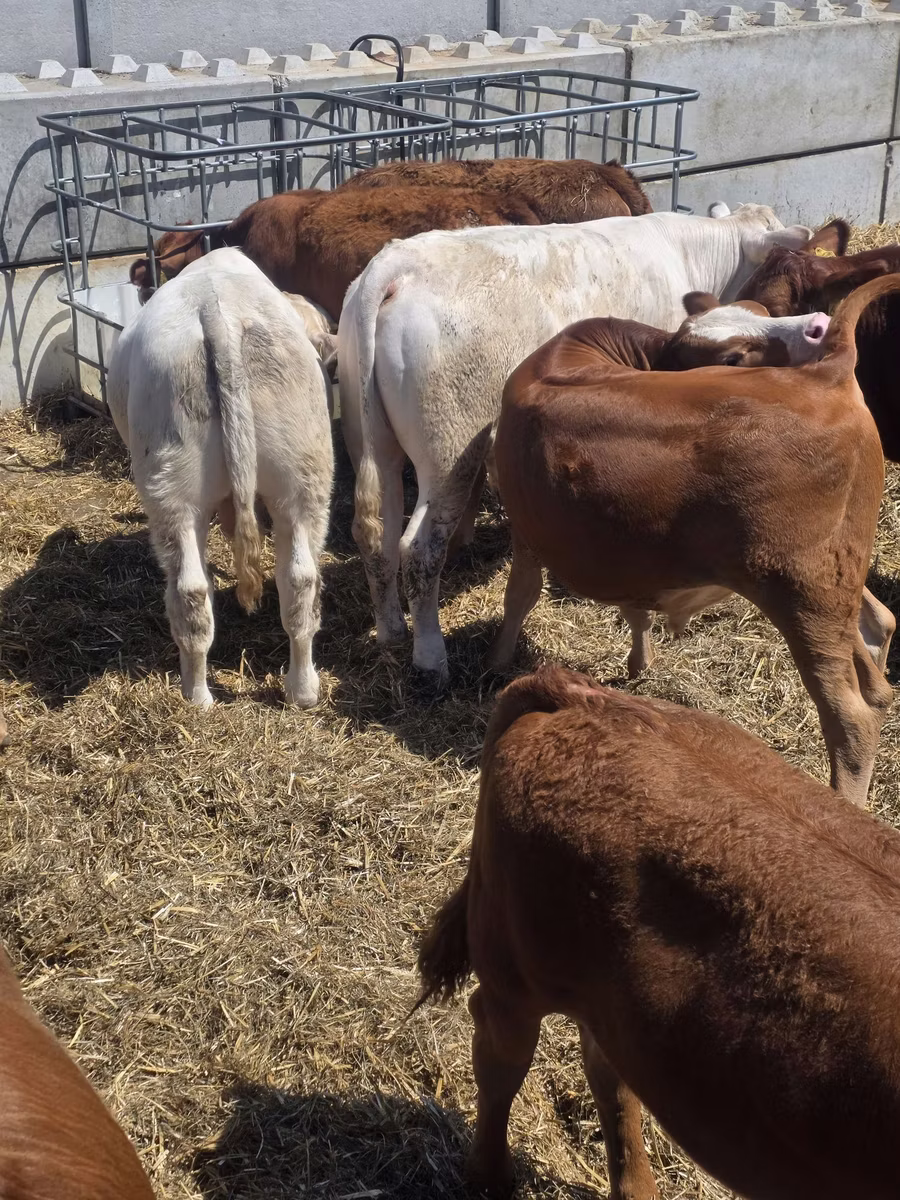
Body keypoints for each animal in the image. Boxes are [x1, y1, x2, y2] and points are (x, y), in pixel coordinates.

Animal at [107, 248, 334, 709]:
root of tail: (217, 316)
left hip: (170, 488)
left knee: (189, 590)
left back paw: (195, 697)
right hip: (303, 470)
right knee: (299, 580)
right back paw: (302, 691)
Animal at [341, 202, 842, 686]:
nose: (817, 321)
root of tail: (395, 264)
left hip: (373, 440)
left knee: (375, 531)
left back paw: (390, 630)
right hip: (449, 445)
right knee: (419, 547)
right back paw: (431, 659)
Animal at [417, 664, 900, 1200]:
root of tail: (584, 698)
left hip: (614, 1007)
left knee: (608, 1071)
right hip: (514, 978)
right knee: (501, 1059)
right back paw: (490, 1178)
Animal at [488, 276, 900, 806]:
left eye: (762, 311)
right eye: (732, 356)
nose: (816, 324)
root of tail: (827, 371)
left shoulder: (526, 532)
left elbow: (519, 596)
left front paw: (496, 664)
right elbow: (634, 608)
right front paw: (639, 663)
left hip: (800, 589)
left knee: (852, 717)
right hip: (835, 574)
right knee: (878, 629)